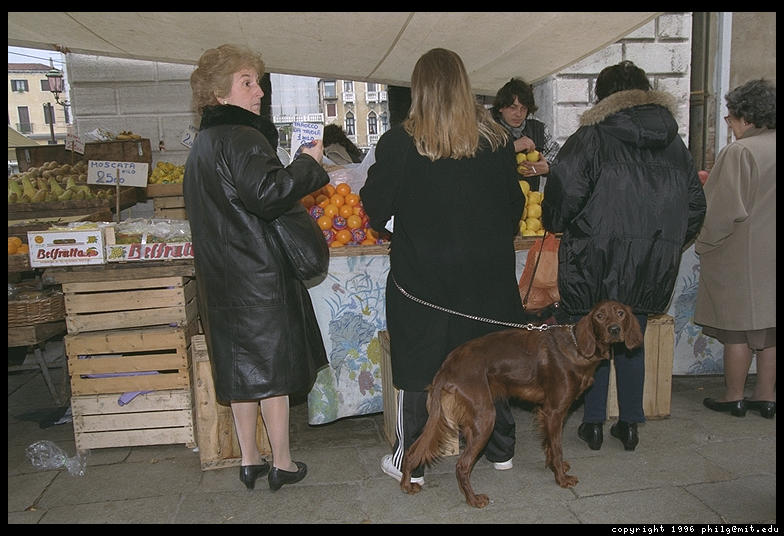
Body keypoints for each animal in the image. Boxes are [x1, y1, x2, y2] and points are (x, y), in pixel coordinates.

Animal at [400, 300, 643, 508]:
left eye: (620, 313)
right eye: (600, 316)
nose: (614, 329)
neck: (577, 347)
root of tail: (446, 367)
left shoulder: (548, 412)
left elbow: (550, 446)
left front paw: (555, 467)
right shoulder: (554, 411)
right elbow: (557, 448)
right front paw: (562, 479)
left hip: (469, 422)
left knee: (412, 452)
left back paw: (406, 485)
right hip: (485, 418)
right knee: (462, 465)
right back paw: (473, 499)